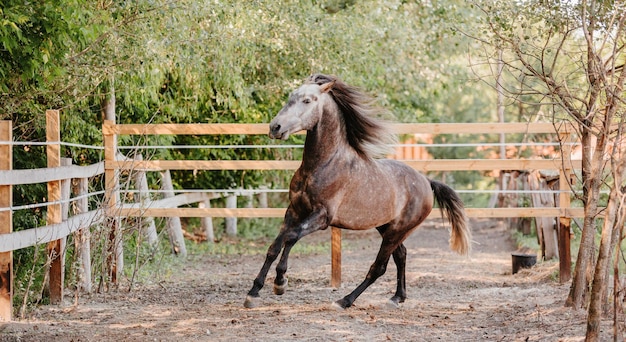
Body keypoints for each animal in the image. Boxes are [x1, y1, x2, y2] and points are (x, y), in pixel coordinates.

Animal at [243, 75, 468, 310]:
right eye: (290, 97)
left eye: (307, 100)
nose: (275, 127)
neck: (323, 165)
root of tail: (426, 181)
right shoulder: (294, 210)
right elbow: (275, 246)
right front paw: (254, 292)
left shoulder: (322, 217)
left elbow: (291, 237)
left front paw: (280, 282)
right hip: (386, 227)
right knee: (401, 256)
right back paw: (397, 297)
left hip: (397, 231)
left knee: (379, 267)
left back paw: (345, 300)